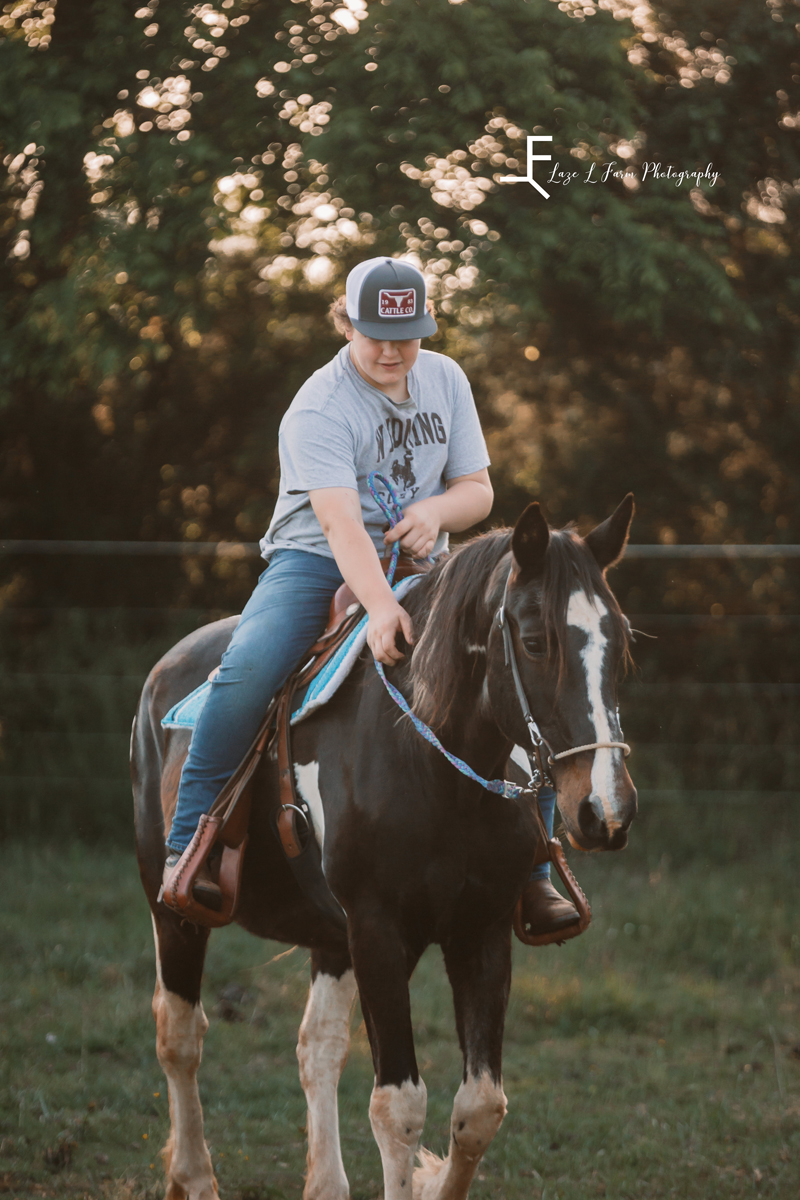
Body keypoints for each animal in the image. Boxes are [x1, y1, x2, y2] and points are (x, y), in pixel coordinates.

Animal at [134, 494, 642, 1200]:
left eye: (620, 644)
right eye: (536, 641)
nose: (607, 811)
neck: (427, 760)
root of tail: (162, 676)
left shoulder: (479, 931)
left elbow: (479, 1108)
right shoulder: (377, 931)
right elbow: (398, 1107)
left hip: (331, 936)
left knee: (316, 1046)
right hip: (175, 912)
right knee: (180, 1035)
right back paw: (194, 1176)